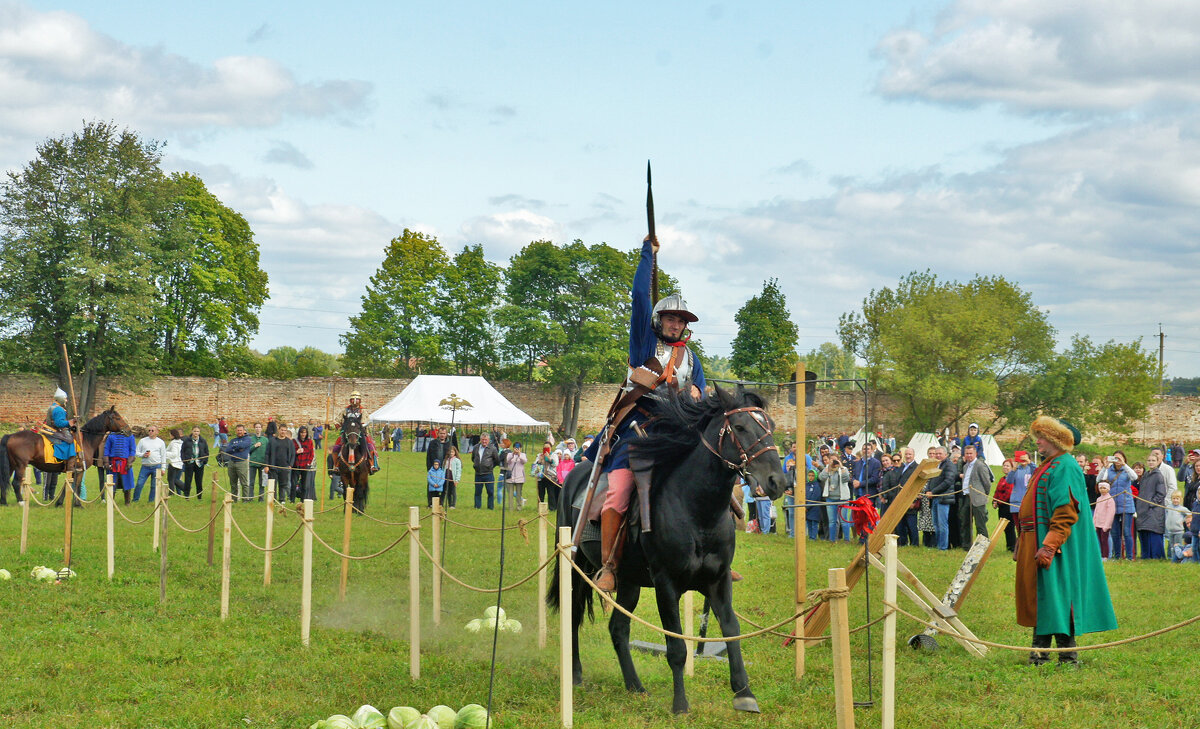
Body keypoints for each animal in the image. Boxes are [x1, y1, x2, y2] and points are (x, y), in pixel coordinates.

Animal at [0, 407, 131, 510]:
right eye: (117, 418)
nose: (129, 430)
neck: (86, 440)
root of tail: (10, 435)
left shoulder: (73, 471)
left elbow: (70, 486)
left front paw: (62, 503)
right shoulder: (78, 470)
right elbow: (75, 486)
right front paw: (75, 504)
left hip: (12, 465)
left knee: (4, 481)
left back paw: (4, 502)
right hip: (21, 465)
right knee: (16, 483)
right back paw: (21, 502)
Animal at [547, 383, 787, 714]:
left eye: (771, 427)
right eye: (739, 427)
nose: (777, 481)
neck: (697, 510)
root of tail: (573, 476)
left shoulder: (718, 580)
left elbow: (732, 628)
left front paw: (744, 692)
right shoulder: (666, 584)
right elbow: (676, 648)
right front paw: (680, 704)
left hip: (629, 581)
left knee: (618, 629)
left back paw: (635, 686)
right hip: (577, 567)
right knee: (574, 615)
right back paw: (576, 673)